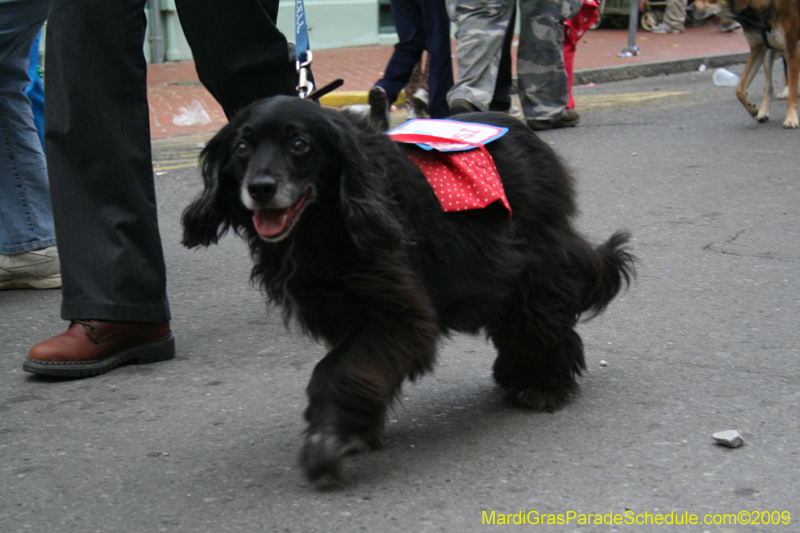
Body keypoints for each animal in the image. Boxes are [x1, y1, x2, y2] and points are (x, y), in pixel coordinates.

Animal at [183, 94, 636, 478]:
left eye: (299, 144)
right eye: (242, 148)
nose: (260, 188)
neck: (325, 222)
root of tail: (526, 133)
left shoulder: (396, 311)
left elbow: (339, 370)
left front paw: (331, 439)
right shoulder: (347, 310)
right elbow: (359, 369)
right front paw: (356, 426)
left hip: (530, 262)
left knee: (542, 316)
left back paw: (545, 385)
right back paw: (518, 375)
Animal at [692, 0, 796, 128]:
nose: (688, 10)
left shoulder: (791, 51)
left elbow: (793, 90)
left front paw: (791, 118)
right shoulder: (758, 50)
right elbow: (740, 90)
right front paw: (752, 109)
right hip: (769, 52)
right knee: (769, 86)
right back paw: (764, 112)